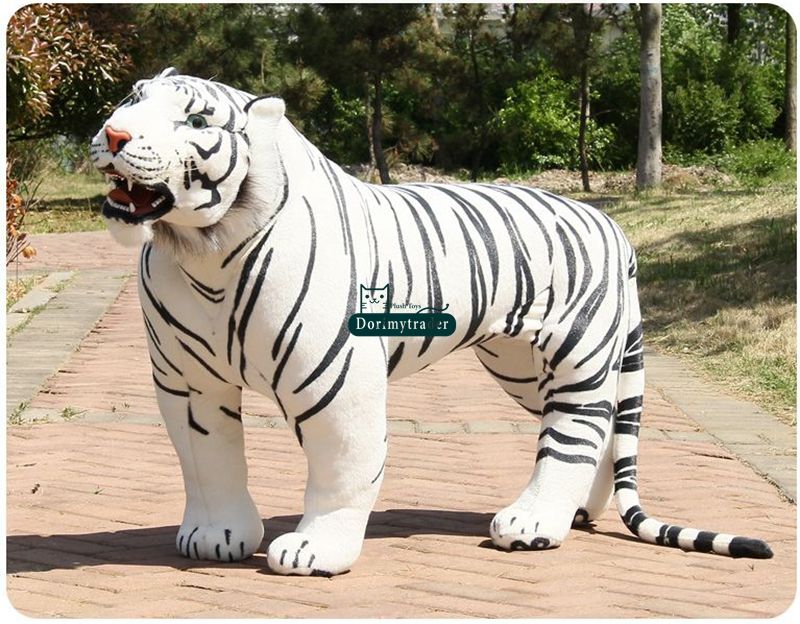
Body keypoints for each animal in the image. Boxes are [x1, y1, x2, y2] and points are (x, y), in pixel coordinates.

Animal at [89, 68, 773, 577]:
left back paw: (533, 524)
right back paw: (577, 513)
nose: (115, 135)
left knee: (576, 432)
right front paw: (217, 535)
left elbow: (342, 467)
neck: (205, 249)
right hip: (523, 369)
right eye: (131, 101)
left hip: (576, 356)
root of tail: (612, 223)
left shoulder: (334, 379)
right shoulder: (187, 381)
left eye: (196, 122)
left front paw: (316, 549)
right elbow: (208, 460)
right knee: (602, 432)